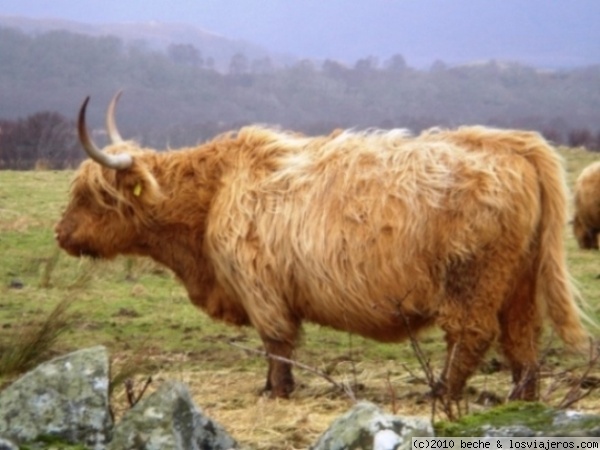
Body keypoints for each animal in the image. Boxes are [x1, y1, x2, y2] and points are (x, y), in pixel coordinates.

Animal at [54, 94, 588, 400]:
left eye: (91, 197)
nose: (61, 233)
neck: (211, 197)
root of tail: (509, 143)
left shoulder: (261, 288)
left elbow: (277, 345)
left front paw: (277, 392)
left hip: (472, 280)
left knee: (473, 334)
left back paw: (440, 393)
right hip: (519, 282)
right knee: (522, 341)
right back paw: (521, 399)